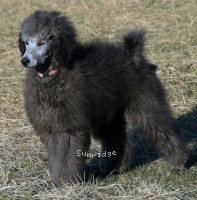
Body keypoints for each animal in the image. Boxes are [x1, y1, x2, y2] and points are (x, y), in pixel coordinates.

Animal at [18, 10, 188, 184]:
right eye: (25, 42)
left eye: (41, 42)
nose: (25, 60)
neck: (52, 77)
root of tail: (132, 56)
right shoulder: (49, 127)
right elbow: (56, 156)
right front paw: (59, 180)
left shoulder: (70, 128)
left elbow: (66, 156)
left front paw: (67, 181)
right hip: (109, 114)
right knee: (116, 139)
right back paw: (115, 167)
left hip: (145, 104)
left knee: (160, 128)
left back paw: (179, 162)